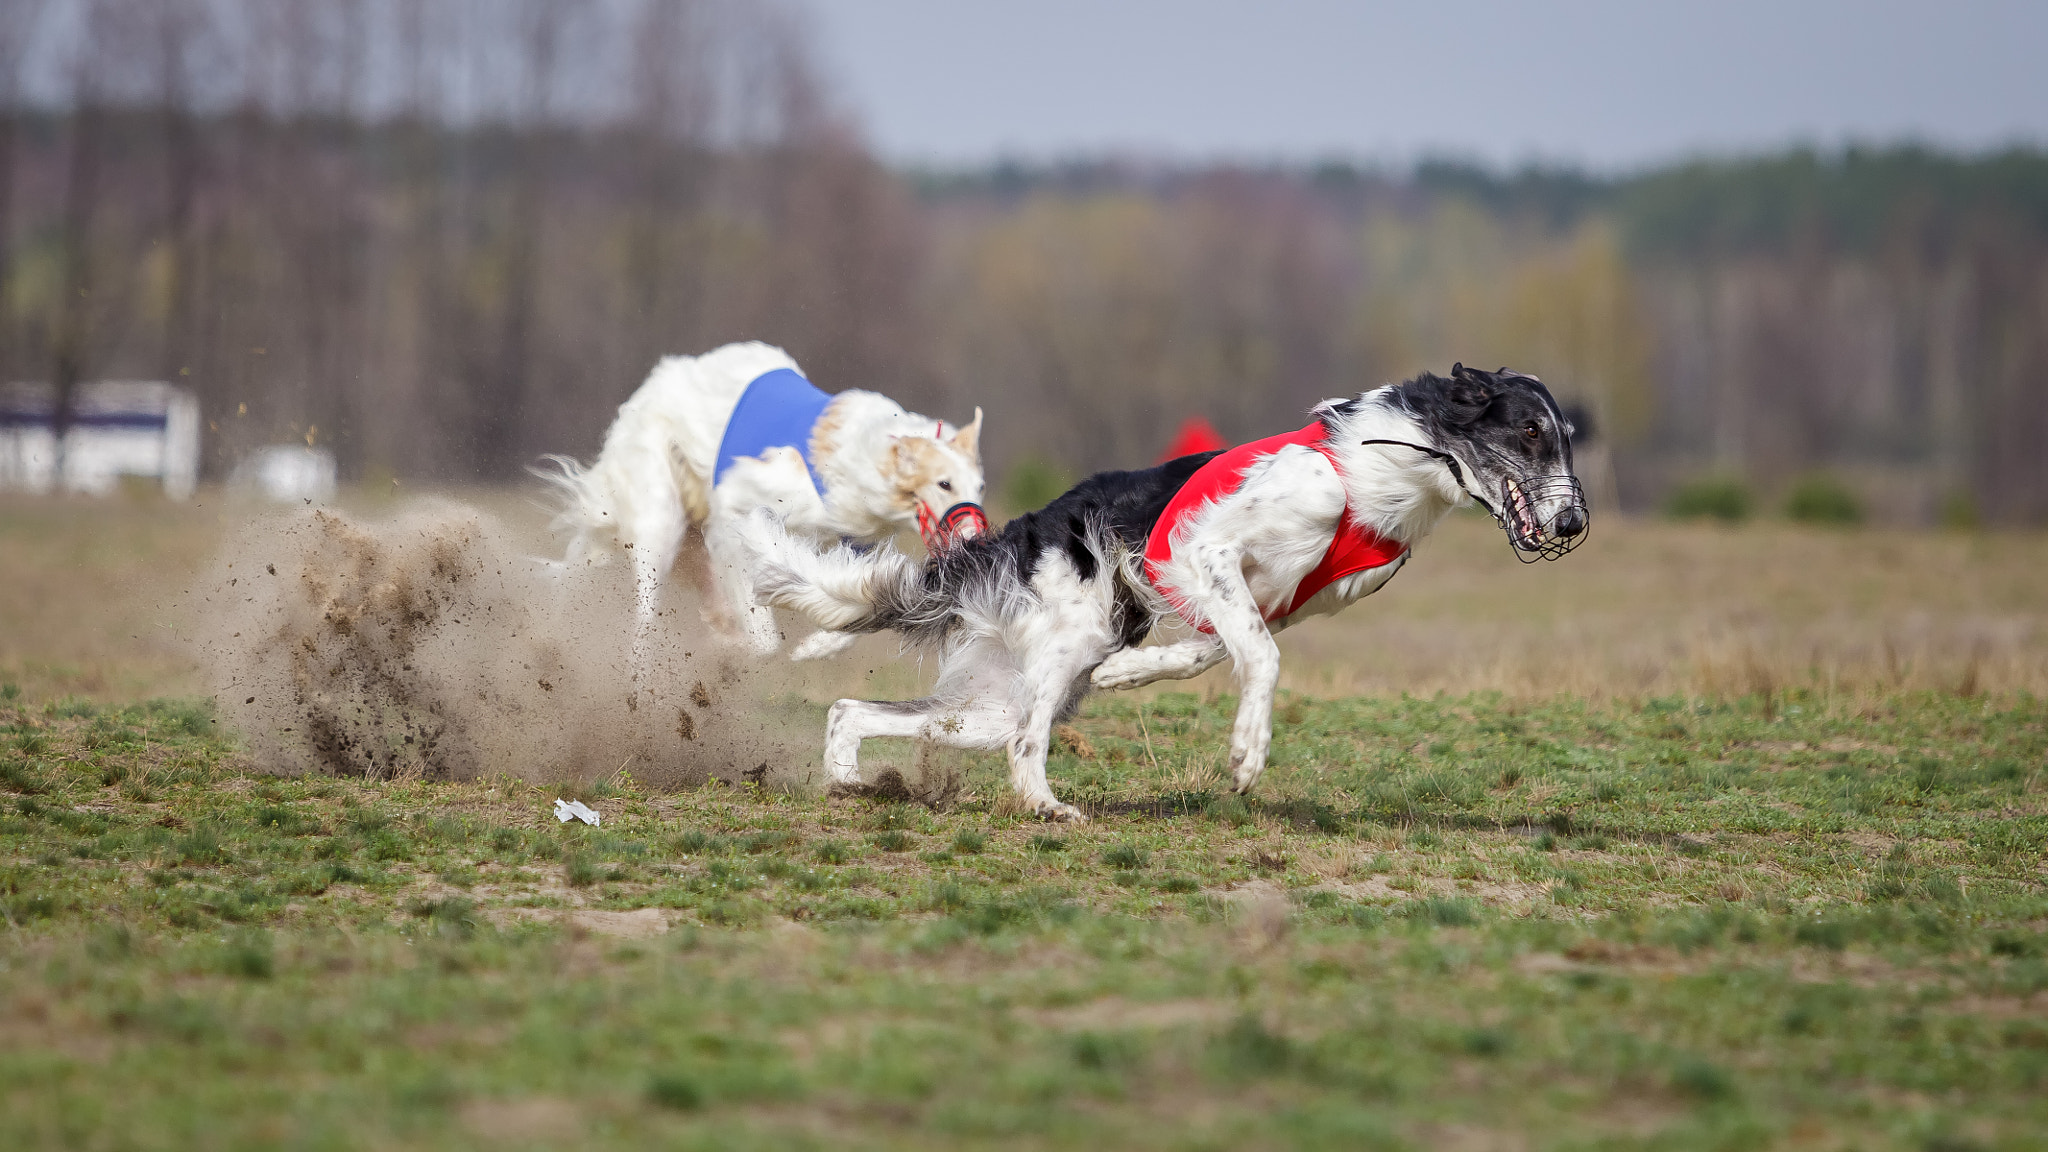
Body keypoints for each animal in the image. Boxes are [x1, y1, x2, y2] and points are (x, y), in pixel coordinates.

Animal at [536, 338, 983, 655]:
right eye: (944, 484)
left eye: (979, 486)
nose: (975, 540)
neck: (862, 457)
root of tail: (662, 377)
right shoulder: (736, 508)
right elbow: (764, 634)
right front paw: (751, 639)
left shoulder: (852, 543)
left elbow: (858, 609)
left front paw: (814, 646)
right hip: (660, 520)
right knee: (643, 619)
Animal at [745, 364, 1589, 815]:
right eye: (1530, 432)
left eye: (1567, 437)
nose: (1575, 521)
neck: (1375, 471)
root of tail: (1018, 533)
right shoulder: (1203, 553)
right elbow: (1259, 659)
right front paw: (1247, 756)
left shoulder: (1275, 603)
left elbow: (1209, 653)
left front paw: (1134, 673)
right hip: (1063, 647)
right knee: (1024, 743)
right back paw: (1046, 807)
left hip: (994, 699)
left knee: (851, 708)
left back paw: (846, 782)